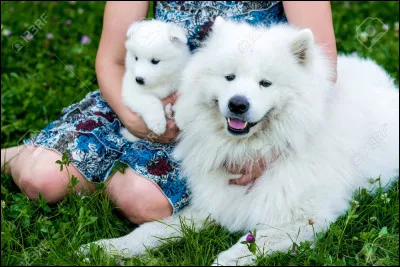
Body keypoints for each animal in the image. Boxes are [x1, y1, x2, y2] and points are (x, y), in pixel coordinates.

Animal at [80, 17, 396, 266]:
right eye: (229, 77)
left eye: (265, 83)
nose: (238, 104)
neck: (252, 149)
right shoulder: (212, 204)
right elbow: (152, 230)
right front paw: (106, 248)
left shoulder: (304, 219)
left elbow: (250, 244)